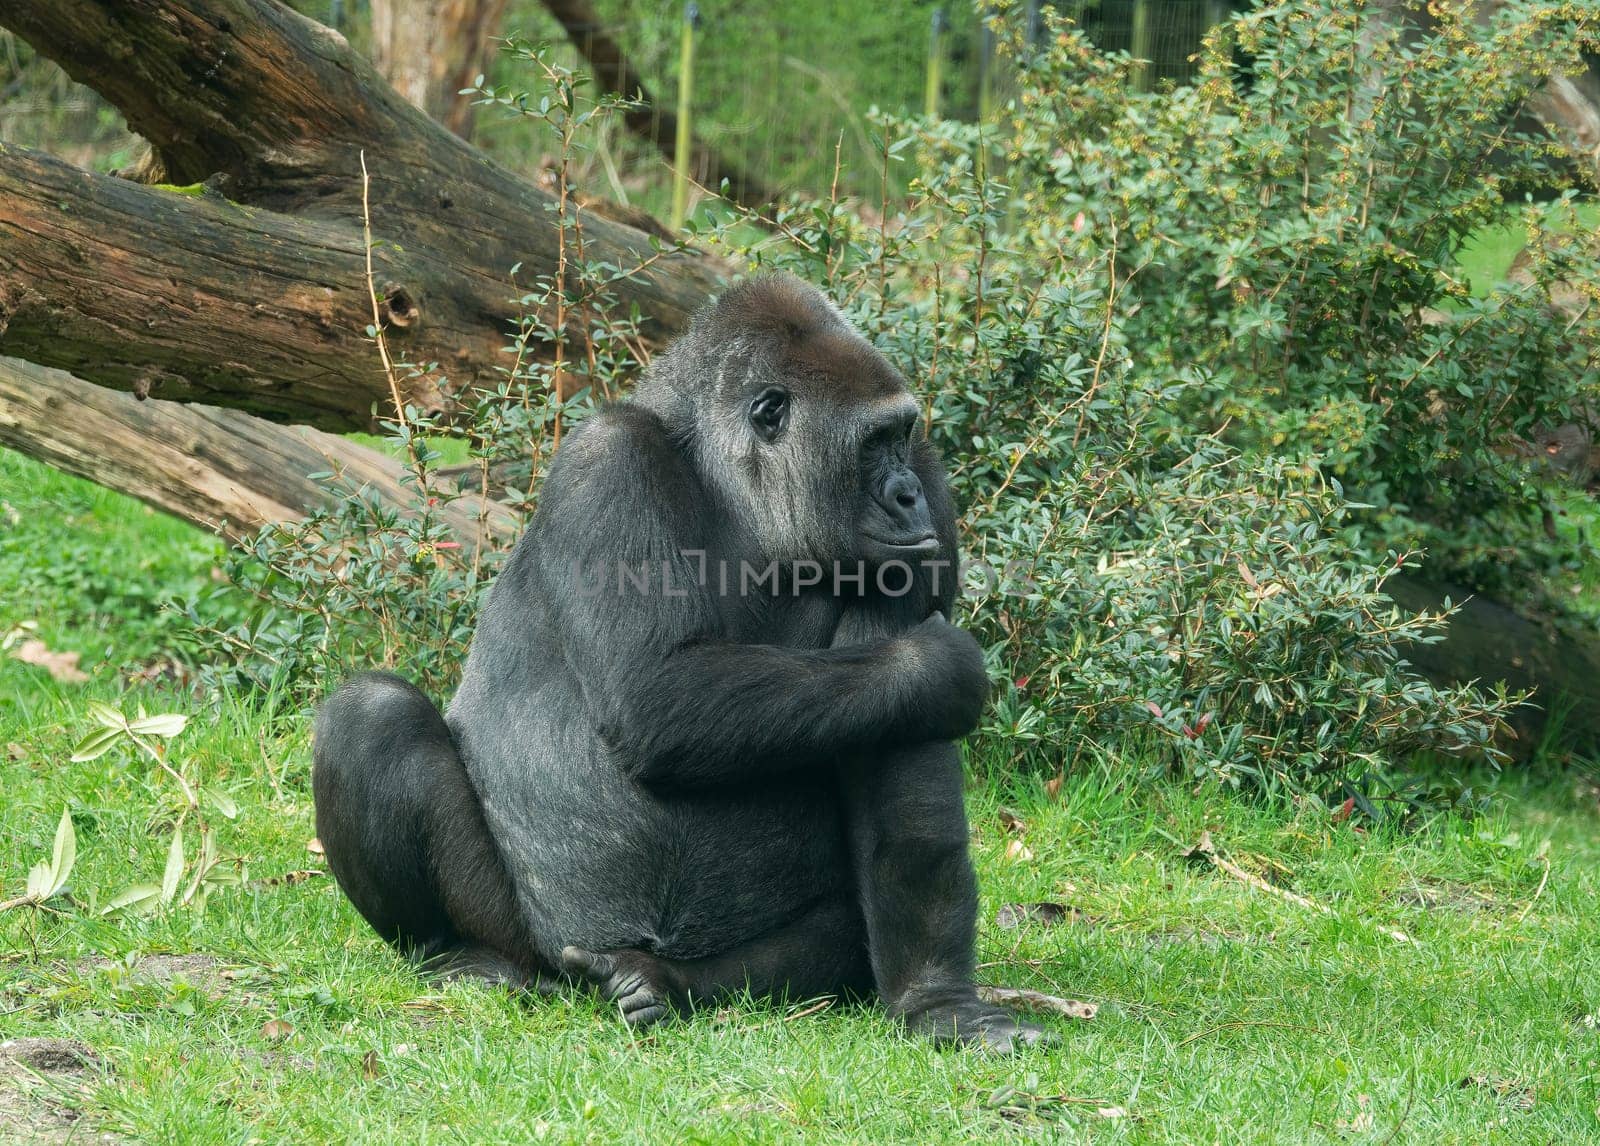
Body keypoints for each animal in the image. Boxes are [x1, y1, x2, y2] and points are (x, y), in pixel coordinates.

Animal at [318, 273, 1056, 1049]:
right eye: (873, 443)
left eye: (902, 439)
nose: (906, 495)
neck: (737, 491)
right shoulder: (610, 459)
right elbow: (657, 695)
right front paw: (932, 664)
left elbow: (900, 749)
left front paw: (936, 999)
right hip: (534, 933)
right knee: (372, 715)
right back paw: (460, 952)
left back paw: (664, 985)